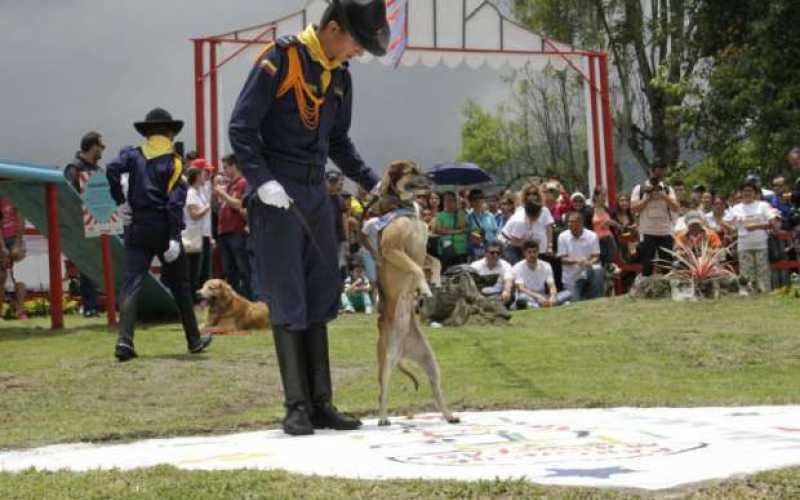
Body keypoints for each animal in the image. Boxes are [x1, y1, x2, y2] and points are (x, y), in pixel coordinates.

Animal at [374, 160, 456, 426]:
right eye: (411, 171)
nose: (432, 178)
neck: (405, 207)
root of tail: (402, 350)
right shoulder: (393, 250)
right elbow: (415, 268)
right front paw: (426, 287)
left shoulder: (423, 250)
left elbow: (436, 260)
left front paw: (436, 281)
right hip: (387, 359)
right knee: (383, 391)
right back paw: (382, 418)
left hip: (429, 360)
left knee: (436, 389)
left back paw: (449, 415)